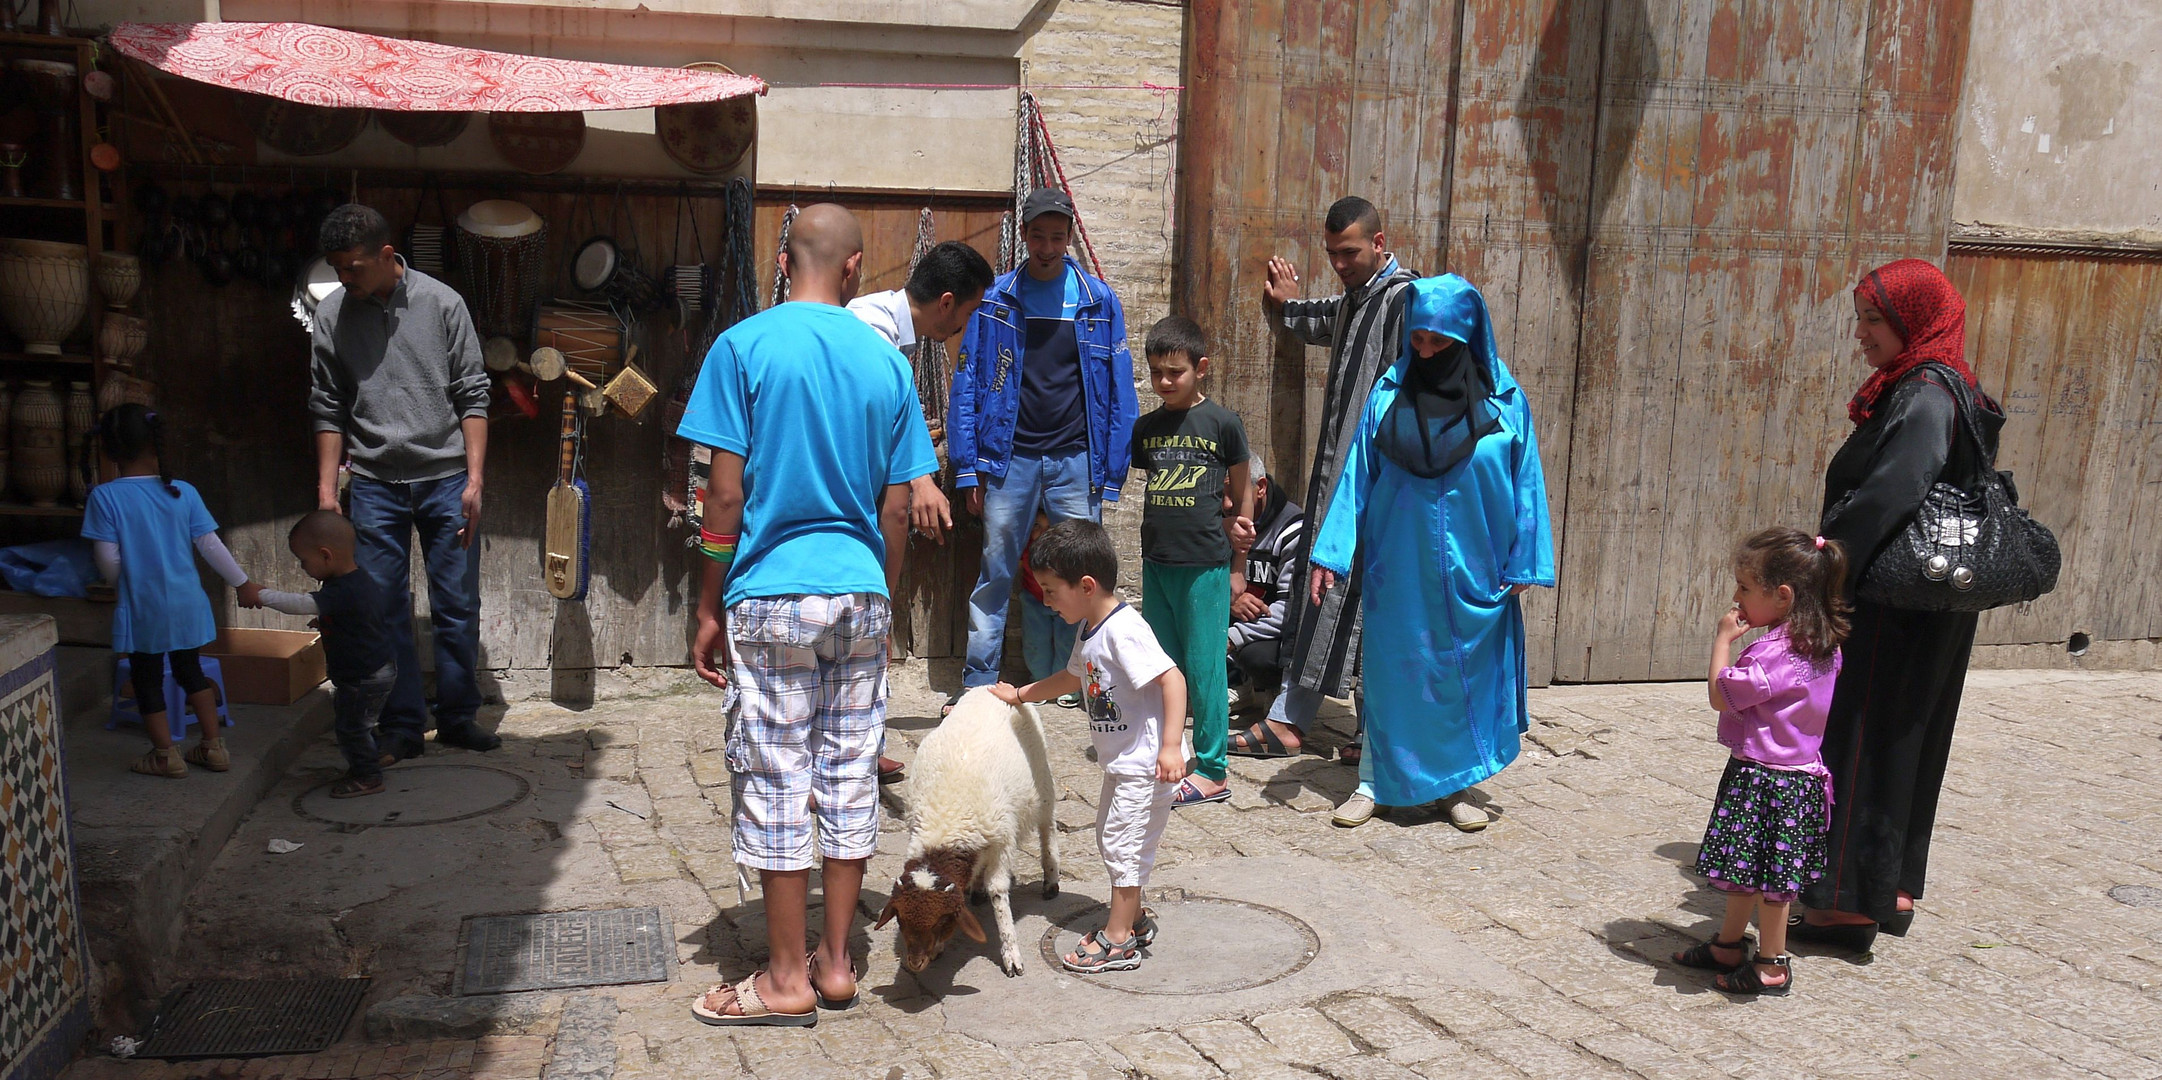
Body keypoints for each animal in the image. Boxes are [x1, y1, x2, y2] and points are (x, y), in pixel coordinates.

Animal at [869, 691, 1055, 980]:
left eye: (942, 920)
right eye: (900, 920)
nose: (915, 963)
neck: (947, 827)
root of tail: (989, 687)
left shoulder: (1002, 841)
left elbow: (998, 893)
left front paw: (1011, 953)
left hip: (1042, 783)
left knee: (1048, 827)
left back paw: (1051, 878)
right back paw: (977, 888)